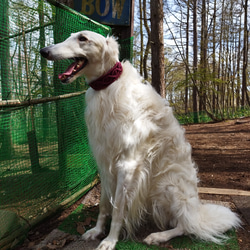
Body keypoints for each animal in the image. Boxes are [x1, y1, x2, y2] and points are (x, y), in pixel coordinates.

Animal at [40, 30, 241, 249]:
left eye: (82, 38)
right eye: (70, 36)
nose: (44, 51)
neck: (108, 86)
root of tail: (197, 211)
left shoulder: (127, 164)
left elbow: (118, 211)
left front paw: (110, 240)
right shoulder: (104, 163)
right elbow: (104, 205)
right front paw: (96, 231)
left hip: (167, 185)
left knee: (186, 226)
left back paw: (158, 236)